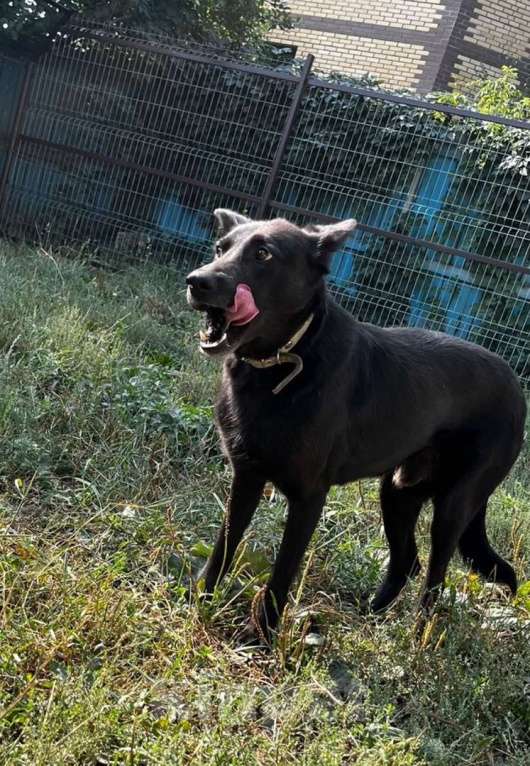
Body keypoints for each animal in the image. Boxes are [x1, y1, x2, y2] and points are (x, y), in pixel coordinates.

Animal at [186, 210, 524, 640]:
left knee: (434, 577)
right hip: (398, 493)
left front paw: (261, 637)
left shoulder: (309, 497)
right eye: (220, 248)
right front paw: (200, 602)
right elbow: (224, 547)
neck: (286, 360)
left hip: (453, 505)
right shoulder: (246, 477)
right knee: (406, 561)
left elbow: (282, 571)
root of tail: (515, 383)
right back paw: (369, 616)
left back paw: (417, 637)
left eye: (263, 253)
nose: (196, 281)